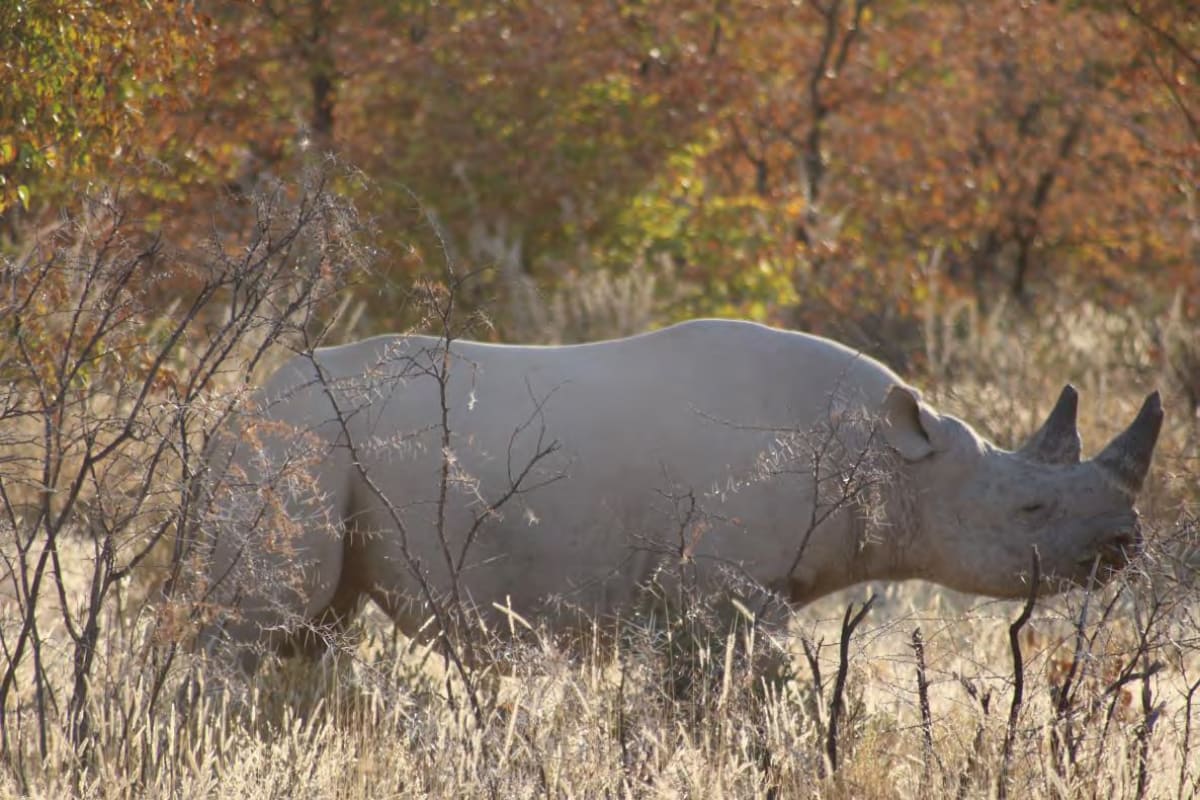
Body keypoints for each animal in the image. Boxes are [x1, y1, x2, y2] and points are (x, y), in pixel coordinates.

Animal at [193, 319, 1162, 669]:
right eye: (1029, 511)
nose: (1128, 545)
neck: (889, 457)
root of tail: (238, 406)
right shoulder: (730, 590)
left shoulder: (713, 594)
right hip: (296, 445)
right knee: (257, 628)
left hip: (300, 448)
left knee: (309, 634)